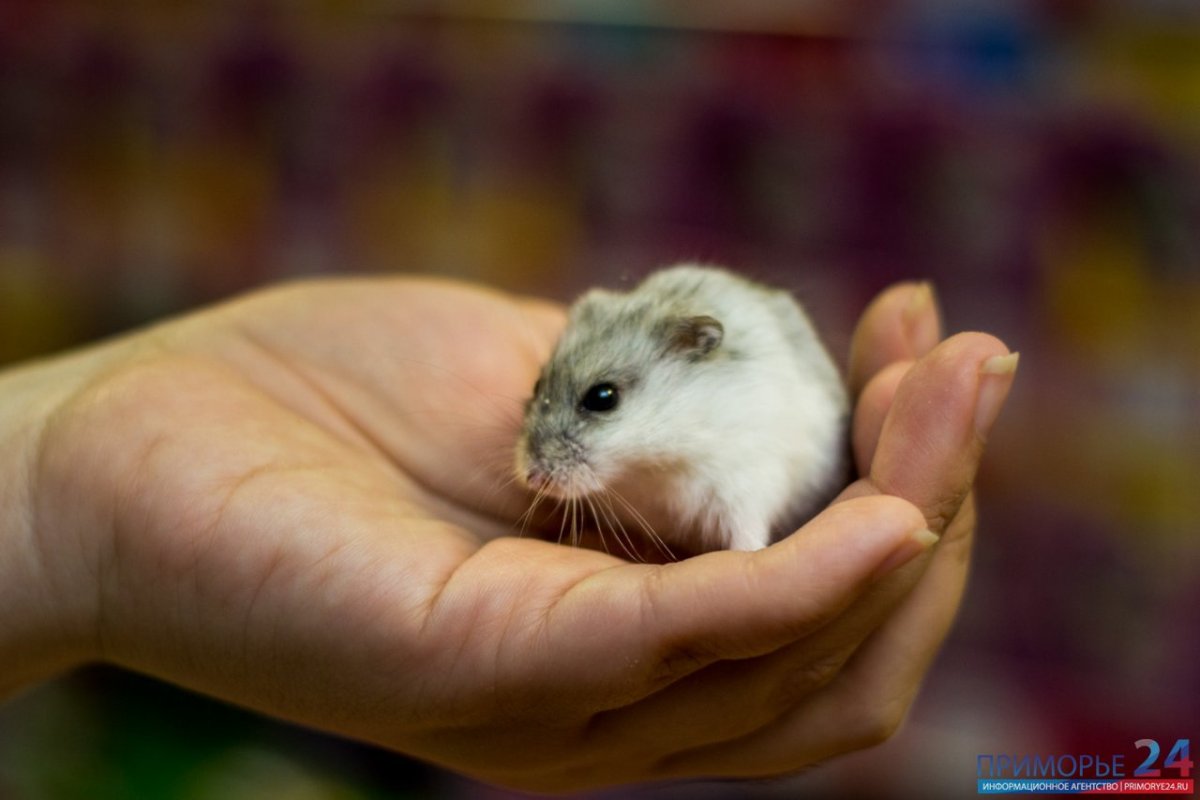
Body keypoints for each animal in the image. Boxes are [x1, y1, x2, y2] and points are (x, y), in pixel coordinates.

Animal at [514, 264, 849, 553]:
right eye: (536, 385)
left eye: (603, 397)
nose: (532, 479)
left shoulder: (744, 484)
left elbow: (746, 531)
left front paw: (746, 552)